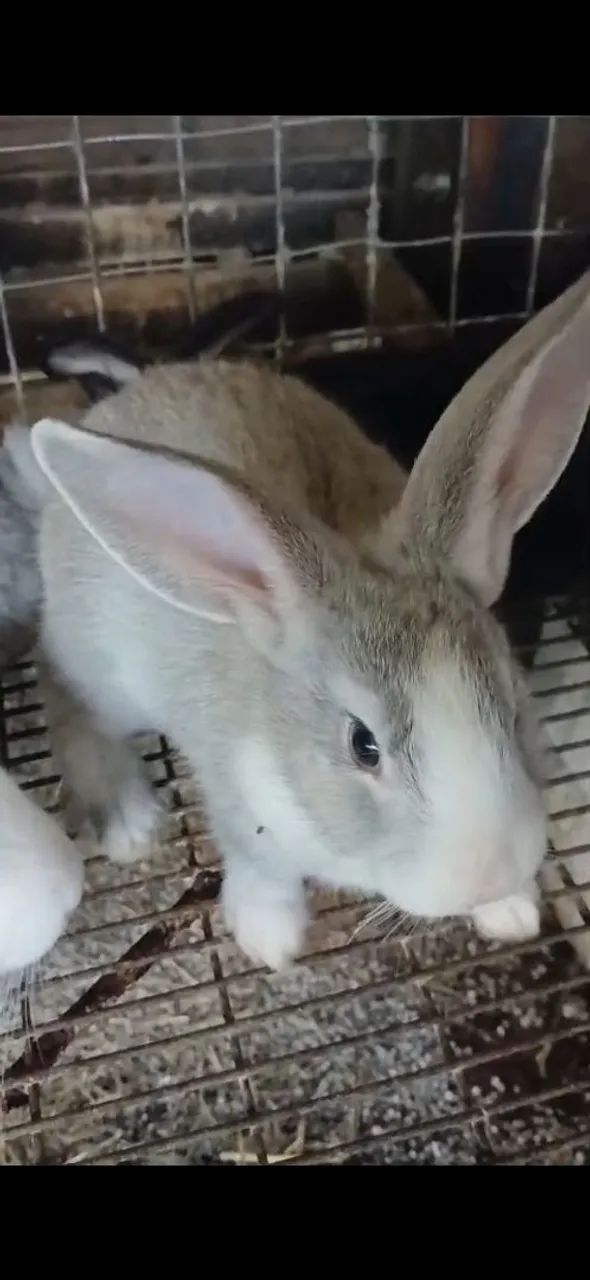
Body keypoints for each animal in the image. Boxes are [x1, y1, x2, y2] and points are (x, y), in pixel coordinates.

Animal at [18, 270, 590, 972]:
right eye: (362, 745)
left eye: (513, 704)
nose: (486, 874)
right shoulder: (239, 804)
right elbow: (261, 868)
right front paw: (270, 939)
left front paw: (510, 912)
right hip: (100, 666)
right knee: (60, 686)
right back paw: (127, 819)